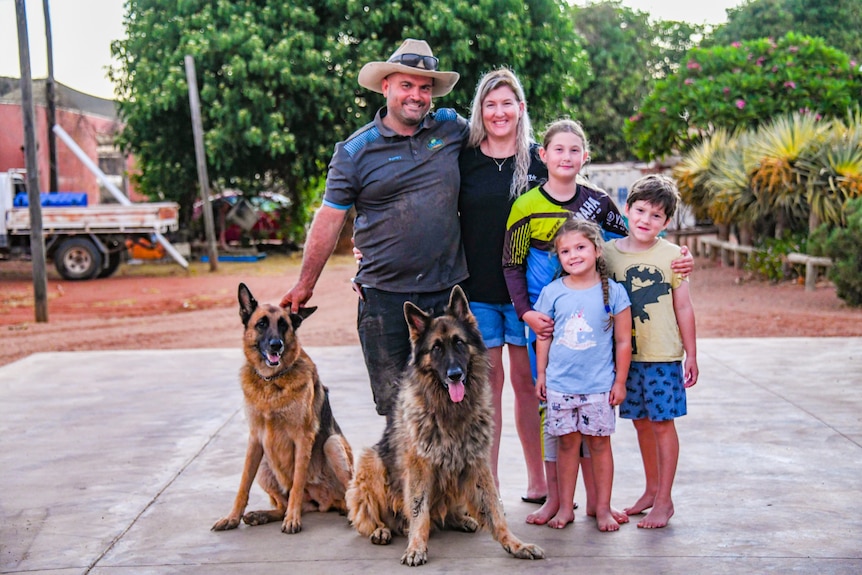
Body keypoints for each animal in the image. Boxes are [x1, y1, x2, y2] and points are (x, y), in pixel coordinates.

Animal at [213, 284, 354, 536]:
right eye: (261, 324)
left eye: (283, 325)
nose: (276, 345)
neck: (271, 382)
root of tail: (323, 503)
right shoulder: (255, 439)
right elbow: (243, 485)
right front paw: (232, 517)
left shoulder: (303, 438)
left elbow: (297, 483)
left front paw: (293, 520)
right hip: (264, 465)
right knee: (282, 504)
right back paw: (262, 515)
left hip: (333, 444)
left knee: (349, 495)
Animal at [346, 286, 544, 564]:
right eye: (436, 348)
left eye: (459, 342)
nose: (455, 375)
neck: (449, 409)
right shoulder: (418, 466)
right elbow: (419, 510)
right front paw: (416, 547)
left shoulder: (477, 463)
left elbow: (494, 510)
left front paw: (515, 544)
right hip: (370, 461)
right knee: (370, 517)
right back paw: (382, 530)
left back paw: (460, 519)